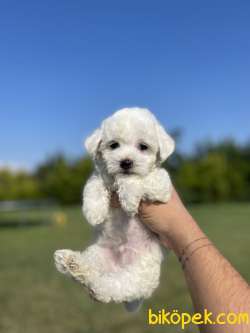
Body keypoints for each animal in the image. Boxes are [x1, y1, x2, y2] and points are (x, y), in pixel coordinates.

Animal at [53, 107, 175, 312]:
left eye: (143, 147)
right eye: (114, 145)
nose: (126, 162)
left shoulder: (162, 186)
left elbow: (138, 179)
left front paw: (129, 199)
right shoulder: (100, 175)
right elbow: (94, 185)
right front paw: (94, 212)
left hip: (135, 276)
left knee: (109, 289)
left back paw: (91, 282)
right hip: (97, 254)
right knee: (91, 273)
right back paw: (71, 263)